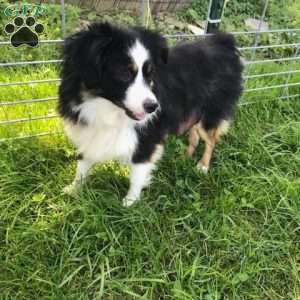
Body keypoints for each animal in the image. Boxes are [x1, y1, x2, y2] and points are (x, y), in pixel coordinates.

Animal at [59, 22, 244, 206]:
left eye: (149, 74)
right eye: (124, 73)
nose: (153, 107)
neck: (105, 107)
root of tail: (223, 42)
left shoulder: (147, 137)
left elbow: (137, 174)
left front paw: (130, 202)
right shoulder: (88, 130)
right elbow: (83, 164)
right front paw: (74, 188)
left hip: (210, 114)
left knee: (211, 140)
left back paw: (203, 166)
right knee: (195, 137)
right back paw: (184, 158)